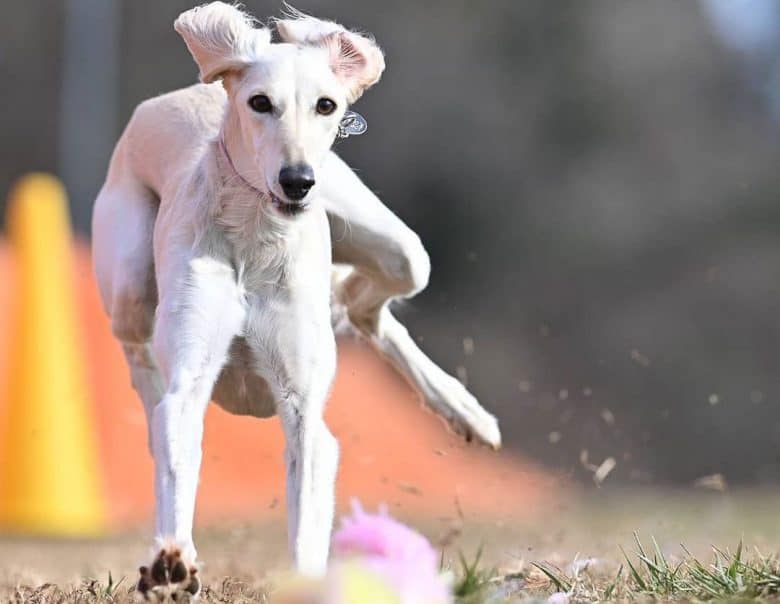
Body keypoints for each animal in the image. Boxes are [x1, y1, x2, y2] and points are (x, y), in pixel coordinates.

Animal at [91, 3, 502, 600]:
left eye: (326, 105)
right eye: (260, 102)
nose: (297, 181)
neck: (254, 238)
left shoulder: (302, 403)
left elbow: (308, 498)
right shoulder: (191, 374)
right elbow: (177, 446)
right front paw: (172, 561)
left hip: (390, 240)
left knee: (379, 299)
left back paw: (463, 409)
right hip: (129, 281)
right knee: (139, 356)